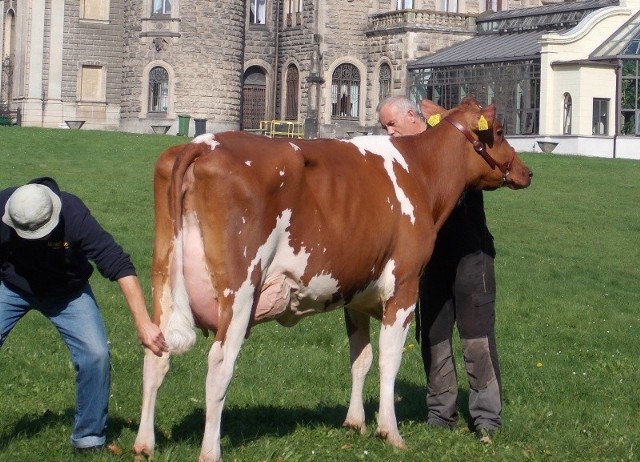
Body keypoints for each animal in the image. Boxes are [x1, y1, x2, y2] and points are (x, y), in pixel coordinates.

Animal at [132, 98, 532, 462]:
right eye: (498, 132)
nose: (526, 171)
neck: (419, 172)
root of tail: (200, 143)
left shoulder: (354, 292)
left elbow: (360, 358)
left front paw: (355, 422)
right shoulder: (404, 286)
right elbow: (388, 359)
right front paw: (390, 431)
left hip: (162, 279)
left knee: (155, 355)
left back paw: (144, 444)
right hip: (241, 289)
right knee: (219, 366)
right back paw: (210, 451)